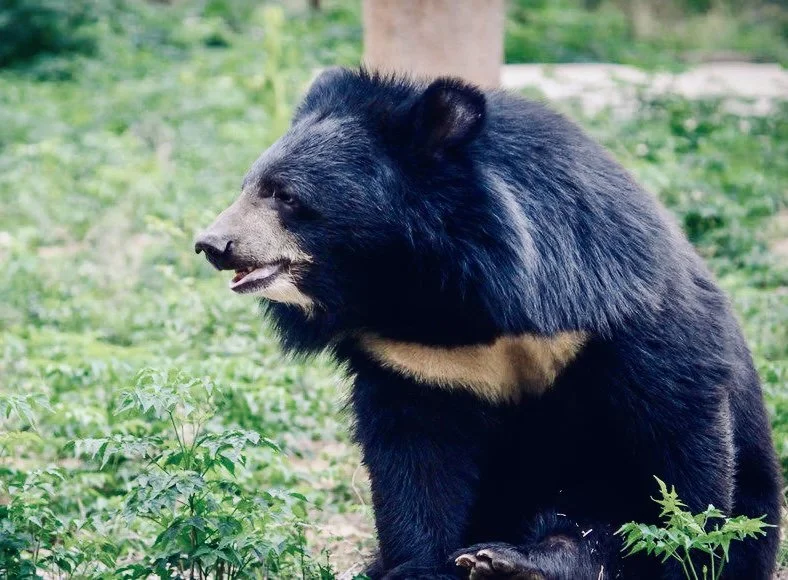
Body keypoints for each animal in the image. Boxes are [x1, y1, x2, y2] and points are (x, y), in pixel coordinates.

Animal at [195, 68, 782, 579]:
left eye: (285, 195)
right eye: (249, 186)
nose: (212, 244)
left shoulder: (614, 308)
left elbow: (677, 428)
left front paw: (692, 555)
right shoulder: (413, 359)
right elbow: (416, 458)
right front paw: (419, 567)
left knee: (591, 533)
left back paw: (518, 562)